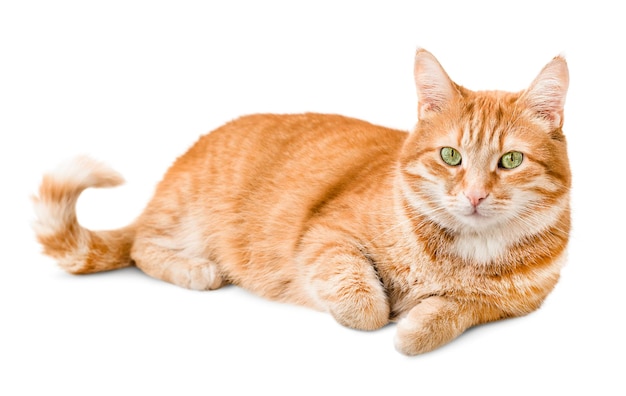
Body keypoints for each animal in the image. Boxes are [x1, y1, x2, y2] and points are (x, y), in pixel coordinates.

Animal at [34, 49, 572, 356]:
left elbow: (454, 312)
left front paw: (416, 324)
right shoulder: (325, 238)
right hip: (184, 217)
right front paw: (386, 311)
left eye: (510, 160)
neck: (466, 252)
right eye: (450, 156)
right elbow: (363, 302)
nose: (476, 195)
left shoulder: (506, 308)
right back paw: (197, 269)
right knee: (141, 245)